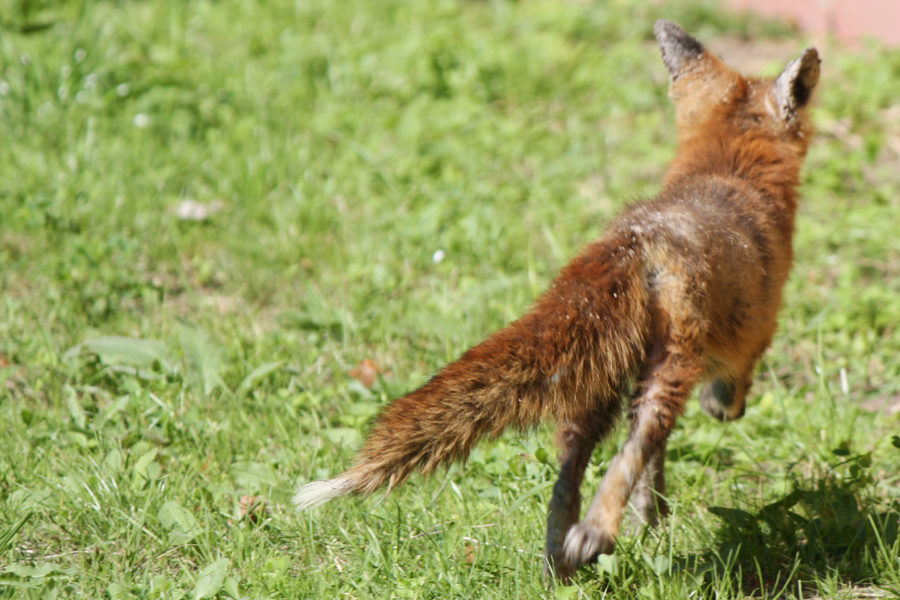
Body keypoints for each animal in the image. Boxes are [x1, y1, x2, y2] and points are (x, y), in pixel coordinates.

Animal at [298, 21, 824, 580]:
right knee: (636, 441)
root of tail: (636, 238)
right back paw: (595, 532)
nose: (729, 413)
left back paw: (562, 554)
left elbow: (654, 466)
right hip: (664, 367)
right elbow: (712, 401)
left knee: (572, 460)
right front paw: (717, 416)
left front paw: (652, 516)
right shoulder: (753, 336)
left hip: (597, 375)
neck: (731, 170)